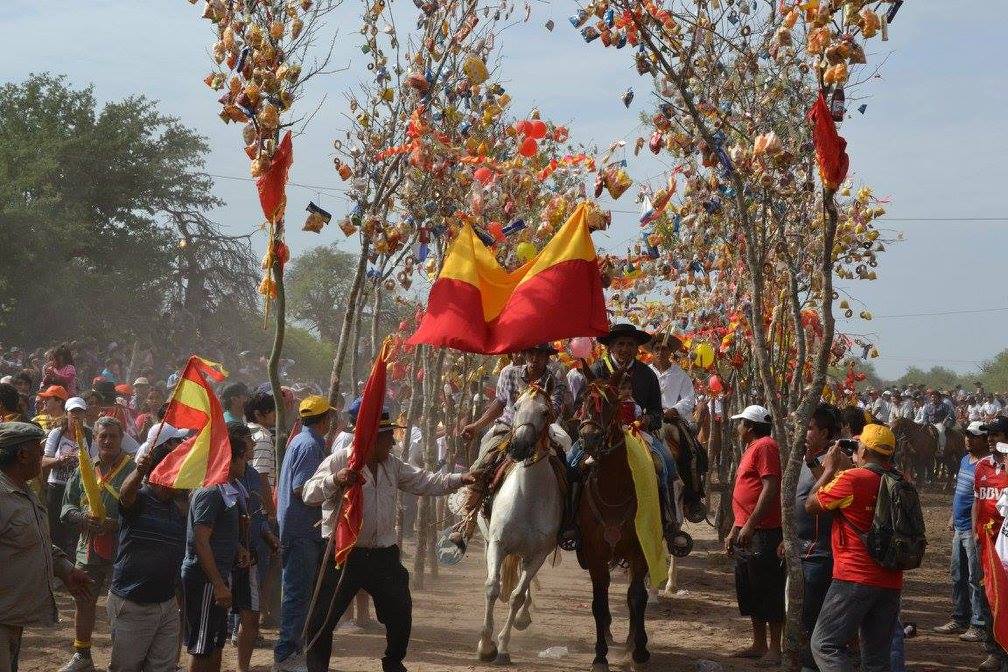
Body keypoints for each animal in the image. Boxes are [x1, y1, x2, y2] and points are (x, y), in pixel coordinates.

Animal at [473, 380, 564, 664]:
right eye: (516, 406)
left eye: (545, 412)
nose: (519, 447)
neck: (528, 496)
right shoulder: (498, 544)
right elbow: (492, 588)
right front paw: (485, 645)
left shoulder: (538, 554)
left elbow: (517, 596)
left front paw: (502, 647)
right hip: (489, 542)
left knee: (523, 592)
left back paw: (523, 617)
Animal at [576, 372, 653, 672]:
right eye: (583, 400)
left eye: (610, 403)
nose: (588, 437)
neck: (613, 491)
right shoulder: (595, 553)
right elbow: (599, 602)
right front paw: (600, 656)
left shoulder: (640, 550)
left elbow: (637, 598)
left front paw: (640, 651)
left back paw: (632, 641)